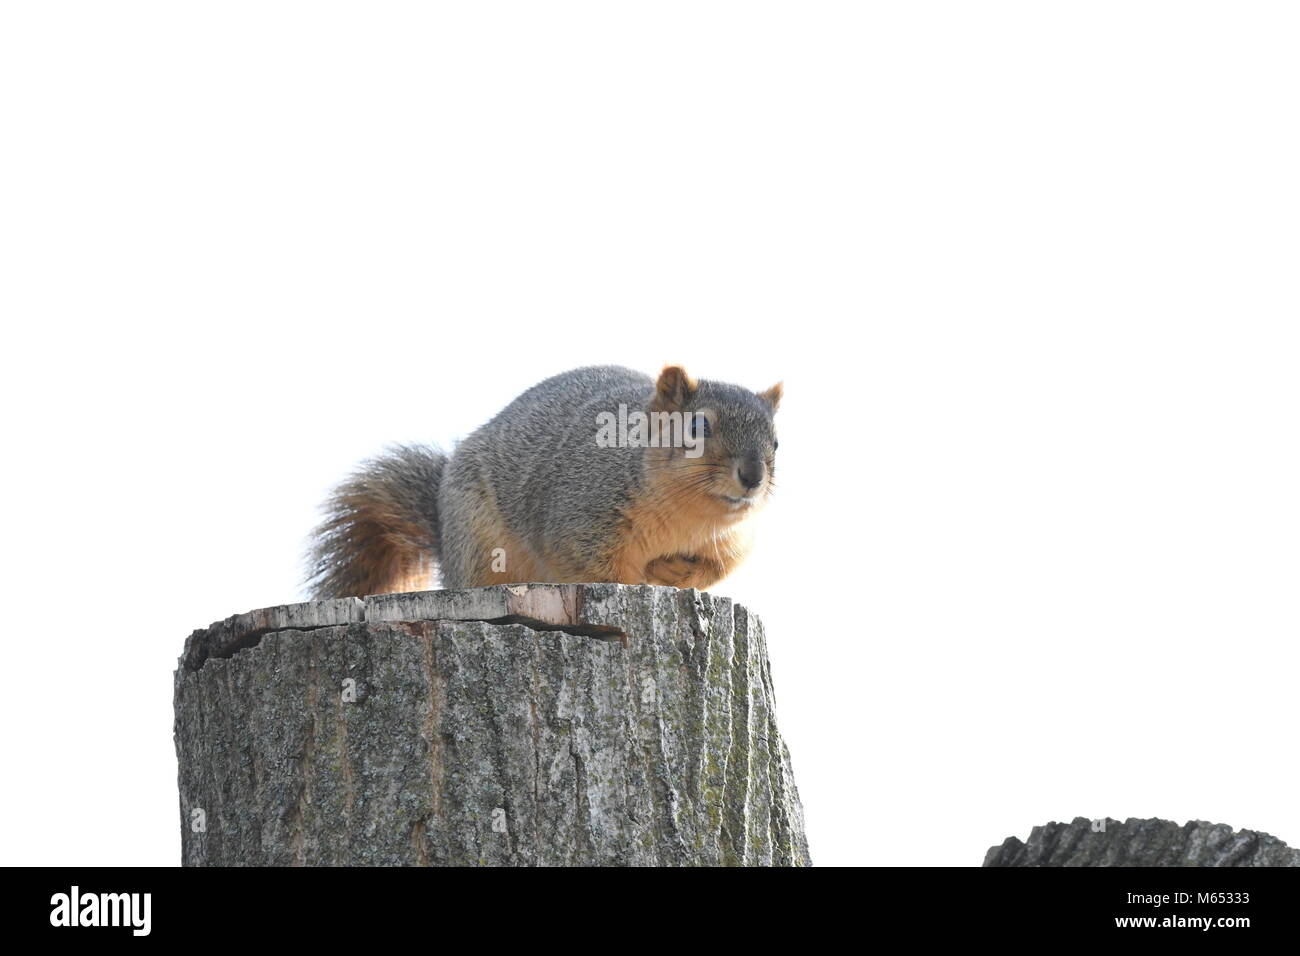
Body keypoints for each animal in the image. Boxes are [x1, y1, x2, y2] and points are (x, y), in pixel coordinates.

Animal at [304, 366, 780, 598]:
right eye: (697, 427)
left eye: (776, 441)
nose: (752, 477)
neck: (686, 516)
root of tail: (444, 531)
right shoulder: (580, 518)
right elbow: (596, 569)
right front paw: (644, 579)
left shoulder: (735, 541)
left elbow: (717, 569)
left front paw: (673, 571)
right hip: (479, 545)